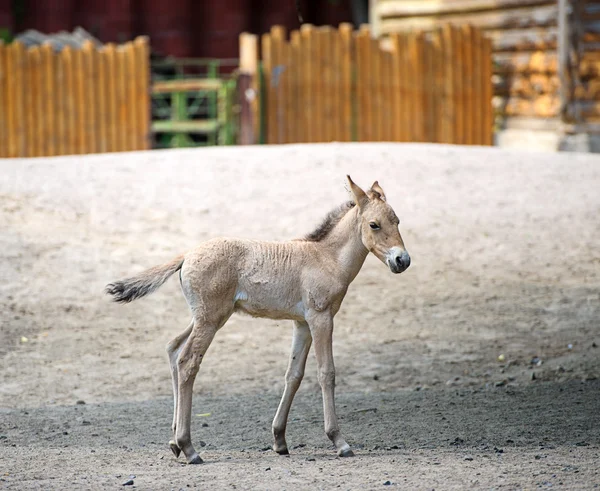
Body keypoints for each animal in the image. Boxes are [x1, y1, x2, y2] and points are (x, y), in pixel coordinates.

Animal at [105, 177, 410, 466]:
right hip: (209, 320)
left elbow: (293, 375)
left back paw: (174, 443)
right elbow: (327, 373)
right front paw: (339, 442)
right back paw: (189, 447)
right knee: (187, 361)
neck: (326, 258)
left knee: (172, 347)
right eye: (374, 224)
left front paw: (279, 440)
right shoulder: (321, 318)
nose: (402, 260)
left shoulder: (302, 323)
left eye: (397, 220)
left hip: (207, 317)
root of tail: (186, 255)